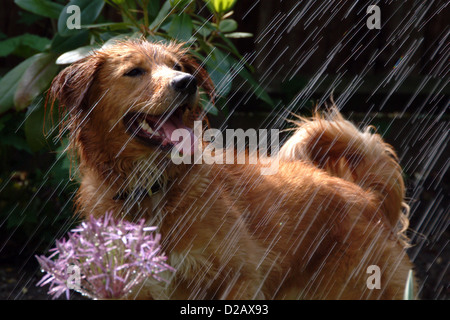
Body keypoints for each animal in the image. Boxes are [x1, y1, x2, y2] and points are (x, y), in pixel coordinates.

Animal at [49, 40, 414, 300]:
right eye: (134, 71)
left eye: (176, 67)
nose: (187, 82)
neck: (152, 187)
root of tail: (369, 198)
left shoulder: (243, 276)